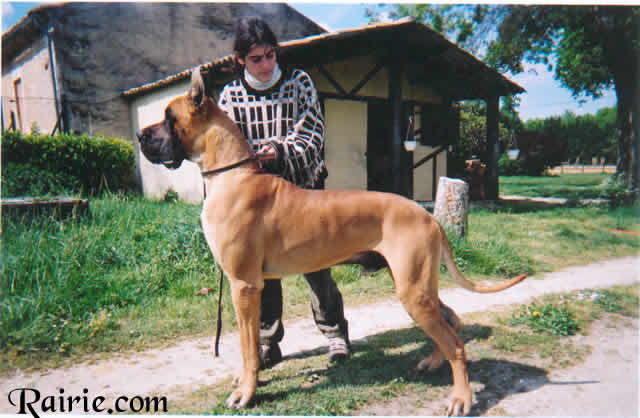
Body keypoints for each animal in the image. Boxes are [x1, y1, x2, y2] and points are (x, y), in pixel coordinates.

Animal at [138, 68, 528, 414]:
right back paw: (433, 362)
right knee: (452, 321)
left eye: (168, 117)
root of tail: (428, 215)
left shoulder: (244, 285)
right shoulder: (252, 285)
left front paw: (247, 392)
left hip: (413, 290)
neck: (232, 174)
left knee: (456, 343)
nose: (141, 136)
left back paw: (461, 397)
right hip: (417, 287)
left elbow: (248, 347)